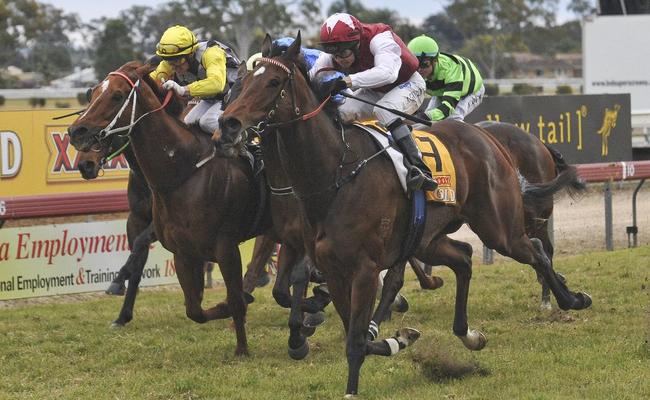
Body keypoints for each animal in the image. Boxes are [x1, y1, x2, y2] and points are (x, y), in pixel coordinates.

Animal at [66, 60, 258, 356]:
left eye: (117, 96)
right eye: (93, 93)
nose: (77, 134)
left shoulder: (159, 228)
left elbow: (139, 249)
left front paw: (116, 282)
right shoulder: (136, 219)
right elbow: (138, 261)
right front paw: (122, 313)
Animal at [215, 32, 588, 396]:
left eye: (274, 82)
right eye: (242, 81)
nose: (227, 124)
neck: (334, 173)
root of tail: (486, 137)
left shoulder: (365, 268)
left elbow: (356, 338)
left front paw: (356, 374)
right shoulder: (331, 266)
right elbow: (351, 328)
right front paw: (396, 338)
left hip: (498, 227)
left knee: (535, 250)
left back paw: (571, 298)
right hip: (428, 238)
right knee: (465, 257)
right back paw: (469, 334)